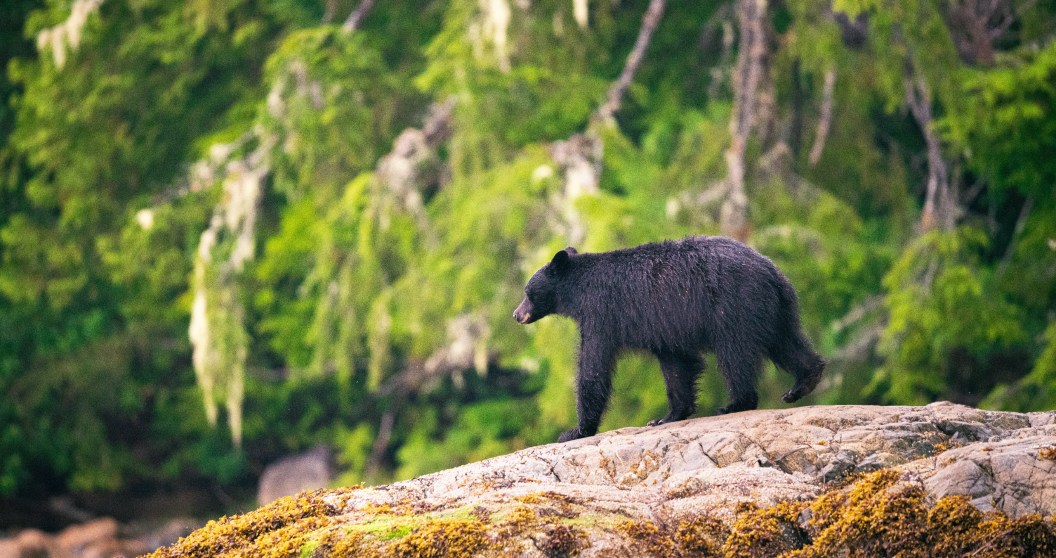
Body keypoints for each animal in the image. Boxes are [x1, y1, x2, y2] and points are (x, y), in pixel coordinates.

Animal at [513, 236, 825, 443]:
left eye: (528, 292)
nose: (517, 314)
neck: (578, 290)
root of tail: (771, 270)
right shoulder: (664, 327)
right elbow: (676, 365)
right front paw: (666, 416)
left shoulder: (601, 313)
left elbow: (593, 367)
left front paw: (575, 430)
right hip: (773, 309)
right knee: (786, 343)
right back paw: (803, 381)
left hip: (735, 305)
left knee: (736, 355)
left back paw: (735, 402)